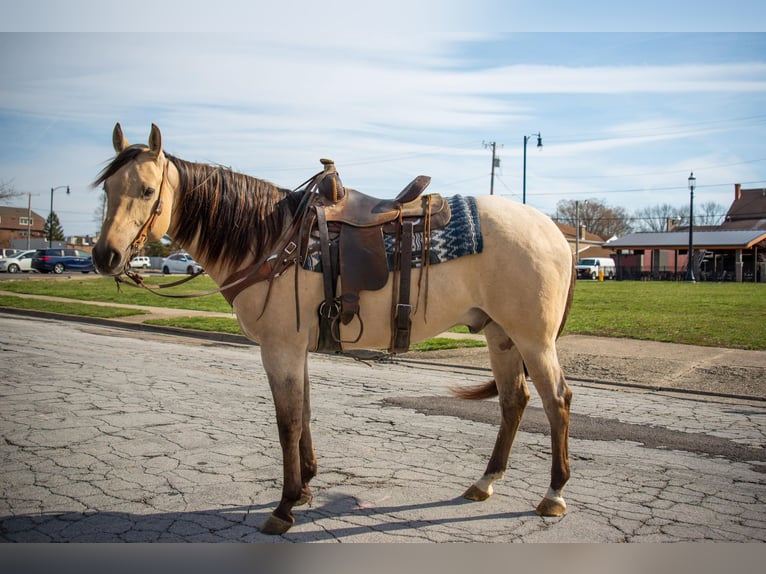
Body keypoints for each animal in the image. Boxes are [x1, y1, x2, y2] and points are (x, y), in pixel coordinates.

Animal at [91, 124, 576, 536]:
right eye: (108, 189)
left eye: (147, 190)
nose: (104, 256)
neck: (271, 242)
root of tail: (553, 231)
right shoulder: (296, 348)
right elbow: (303, 414)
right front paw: (305, 487)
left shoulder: (280, 348)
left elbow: (286, 421)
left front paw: (284, 505)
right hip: (501, 335)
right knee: (514, 402)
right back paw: (484, 482)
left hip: (533, 339)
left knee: (556, 401)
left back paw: (553, 494)